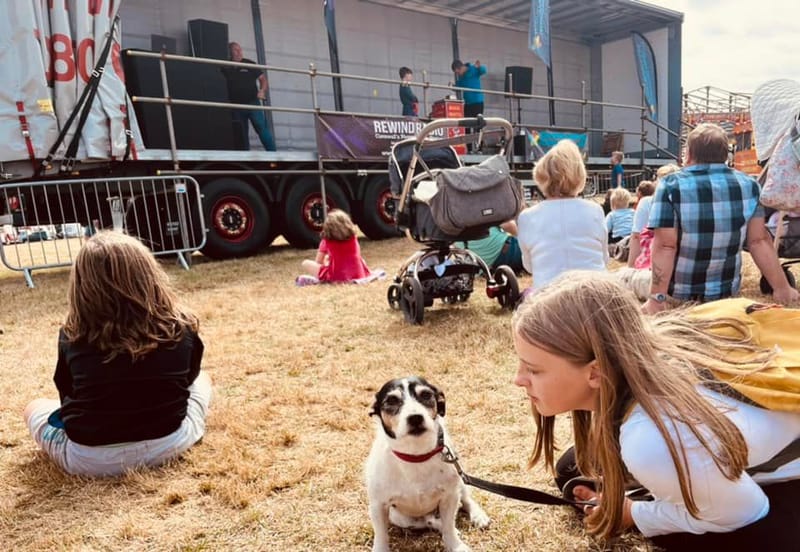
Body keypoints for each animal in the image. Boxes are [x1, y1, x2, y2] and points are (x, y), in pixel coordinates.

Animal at [366, 376, 490, 552]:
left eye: (425, 395)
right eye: (391, 400)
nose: (415, 417)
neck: (416, 455)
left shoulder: (450, 497)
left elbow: (449, 526)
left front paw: (456, 546)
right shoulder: (378, 505)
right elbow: (381, 535)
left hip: (460, 483)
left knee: (466, 500)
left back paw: (478, 516)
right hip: (399, 517)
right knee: (429, 521)